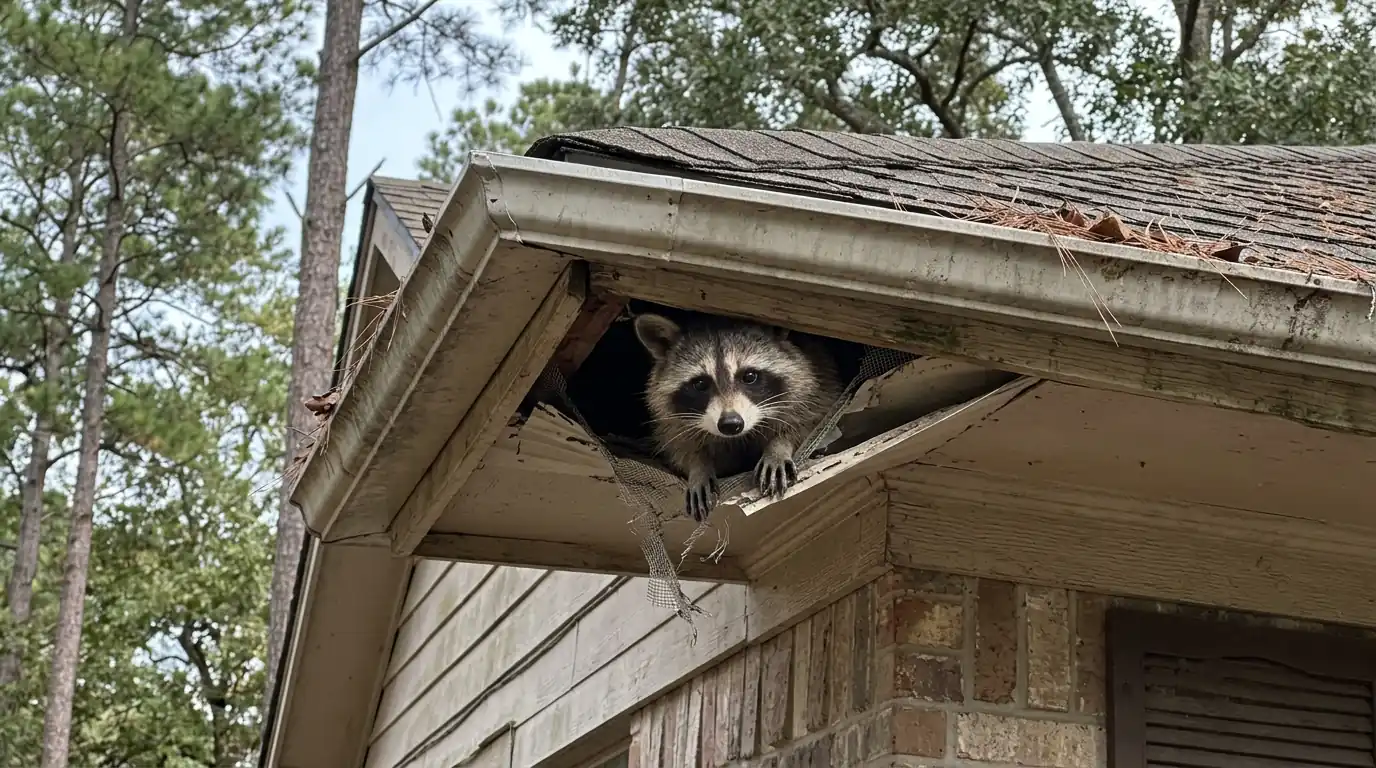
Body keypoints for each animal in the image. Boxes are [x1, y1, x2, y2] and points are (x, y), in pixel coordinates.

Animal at [633, 312, 844, 522]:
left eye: (749, 376)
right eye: (700, 384)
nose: (730, 424)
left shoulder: (818, 382)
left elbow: (808, 421)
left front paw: (778, 447)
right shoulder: (668, 420)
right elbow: (678, 445)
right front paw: (698, 467)